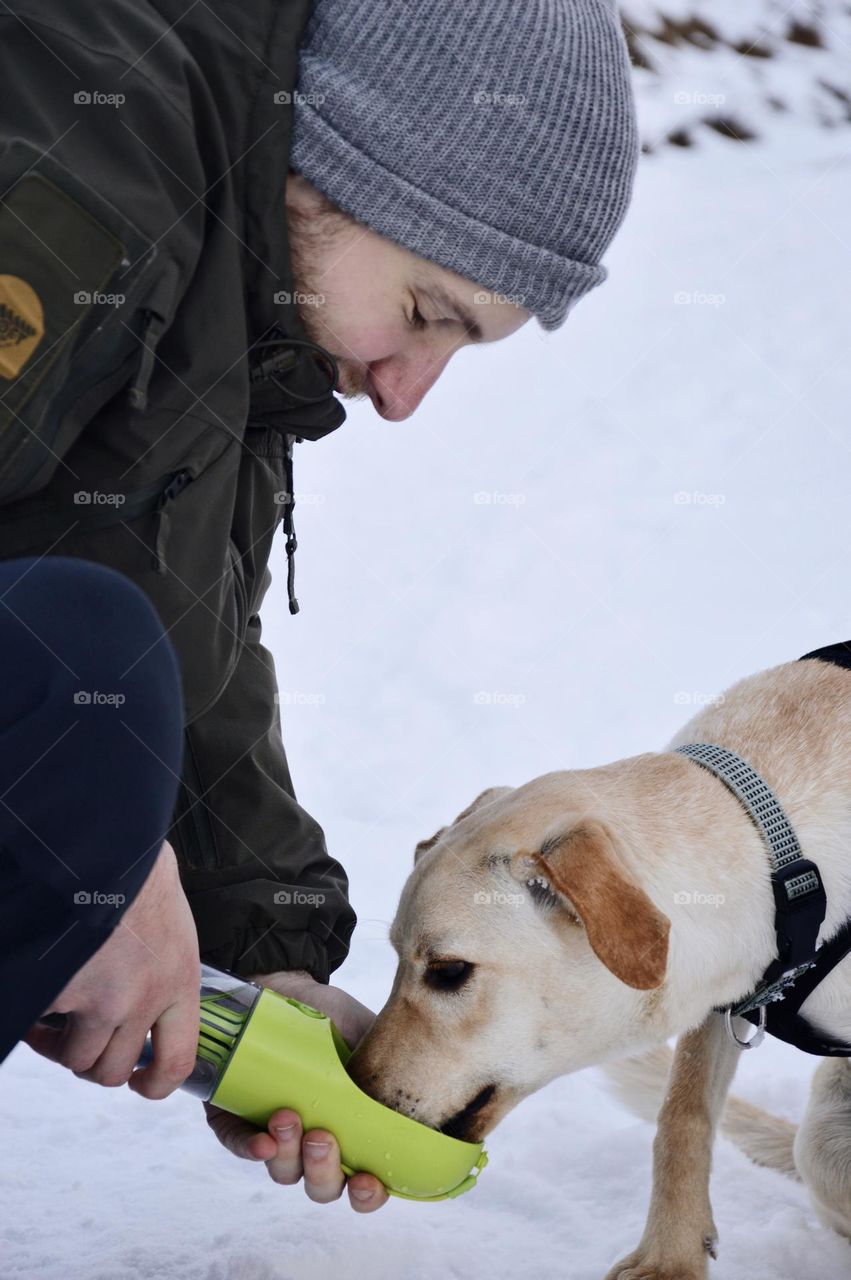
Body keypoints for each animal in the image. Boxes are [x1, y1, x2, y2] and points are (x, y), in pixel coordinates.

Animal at [345, 660, 849, 1280]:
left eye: (448, 970)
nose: (353, 1083)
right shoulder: (727, 998)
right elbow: (681, 1119)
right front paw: (671, 1258)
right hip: (822, 1143)